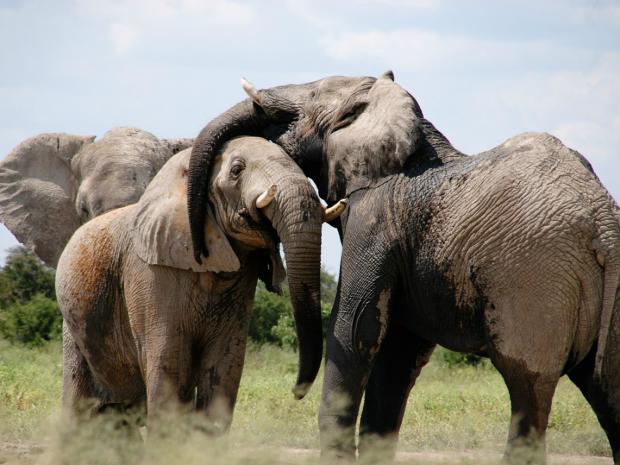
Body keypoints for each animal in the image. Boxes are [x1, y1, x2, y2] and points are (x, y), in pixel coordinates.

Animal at [55, 134, 344, 428]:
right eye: (237, 170)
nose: (296, 392)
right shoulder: (149, 273)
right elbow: (168, 365)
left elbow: (224, 367)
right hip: (73, 328)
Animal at [184, 71, 620, 460]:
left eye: (312, 95)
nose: (295, 392)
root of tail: (602, 218)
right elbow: (396, 355)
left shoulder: (375, 217)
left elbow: (354, 328)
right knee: (608, 392)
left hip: (533, 279)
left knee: (527, 392)